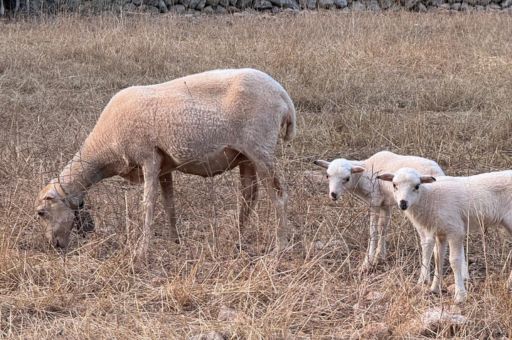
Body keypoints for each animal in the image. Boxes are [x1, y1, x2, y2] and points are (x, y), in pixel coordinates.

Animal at [34, 68, 296, 260]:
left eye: (41, 212)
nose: (54, 246)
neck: (104, 148)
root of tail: (284, 96)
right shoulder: (164, 166)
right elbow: (169, 204)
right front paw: (174, 240)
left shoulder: (148, 157)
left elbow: (148, 205)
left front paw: (142, 251)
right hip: (245, 156)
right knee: (248, 196)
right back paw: (237, 240)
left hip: (260, 149)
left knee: (279, 196)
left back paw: (279, 247)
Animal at [312, 150, 444, 274]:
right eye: (327, 176)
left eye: (347, 178)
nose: (333, 195)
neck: (364, 173)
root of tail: (438, 172)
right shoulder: (385, 203)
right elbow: (383, 228)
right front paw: (380, 256)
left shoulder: (374, 200)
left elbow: (373, 231)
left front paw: (367, 262)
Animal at [376, 167, 512, 302]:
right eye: (394, 185)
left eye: (417, 186)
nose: (403, 203)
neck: (428, 198)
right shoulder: (440, 233)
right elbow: (438, 259)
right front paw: (434, 288)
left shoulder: (455, 230)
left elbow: (454, 261)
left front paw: (460, 295)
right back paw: (508, 285)